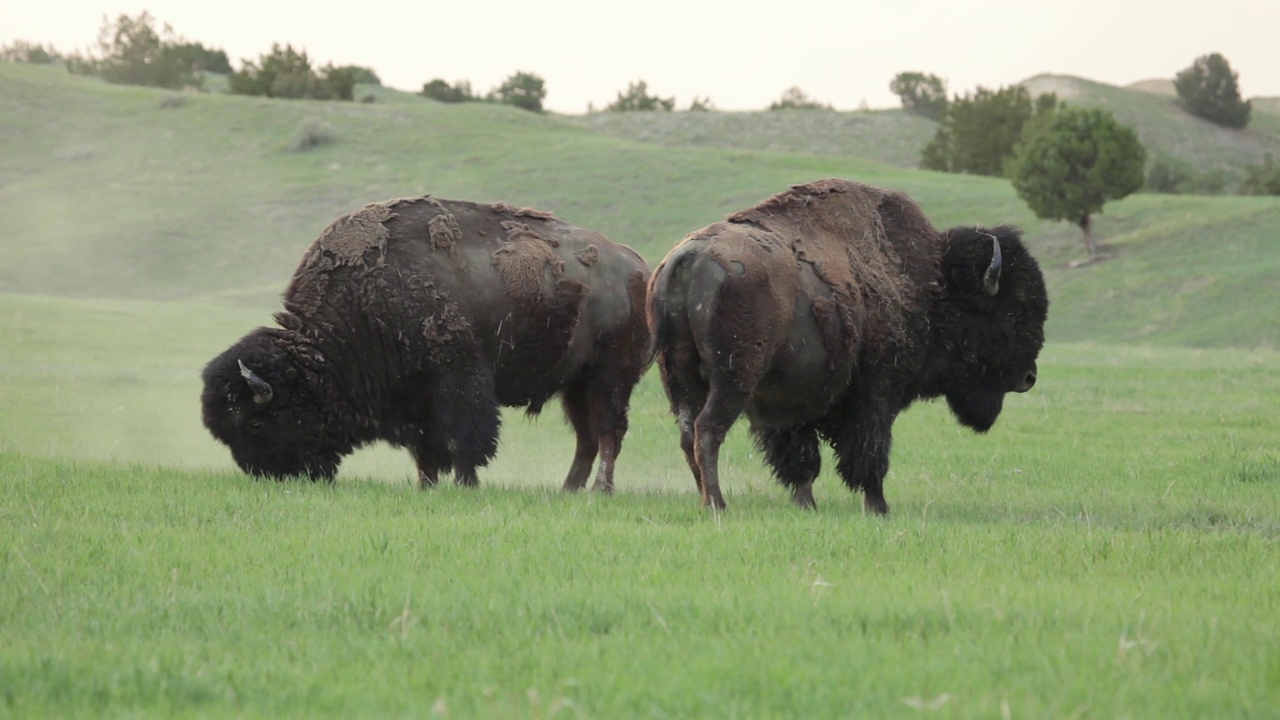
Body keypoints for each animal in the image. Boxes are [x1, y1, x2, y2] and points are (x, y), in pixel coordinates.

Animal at [206, 193, 655, 489]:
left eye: (256, 421)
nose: (272, 477)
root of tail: (638, 266)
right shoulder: (414, 398)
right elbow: (426, 448)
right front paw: (427, 486)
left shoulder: (457, 379)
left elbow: (463, 438)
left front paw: (464, 484)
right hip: (575, 384)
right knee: (586, 438)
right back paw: (568, 490)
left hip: (609, 378)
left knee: (609, 432)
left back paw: (599, 491)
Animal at [645, 178, 1044, 509]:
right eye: (1012, 312)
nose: (1029, 378)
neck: (934, 283)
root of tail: (687, 257)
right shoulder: (877, 395)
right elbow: (870, 453)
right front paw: (878, 507)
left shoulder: (793, 402)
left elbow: (803, 458)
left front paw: (806, 504)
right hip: (733, 379)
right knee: (708, 430)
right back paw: (717, 504)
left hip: (680, 377)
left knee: (688, 434)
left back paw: (705, 499)